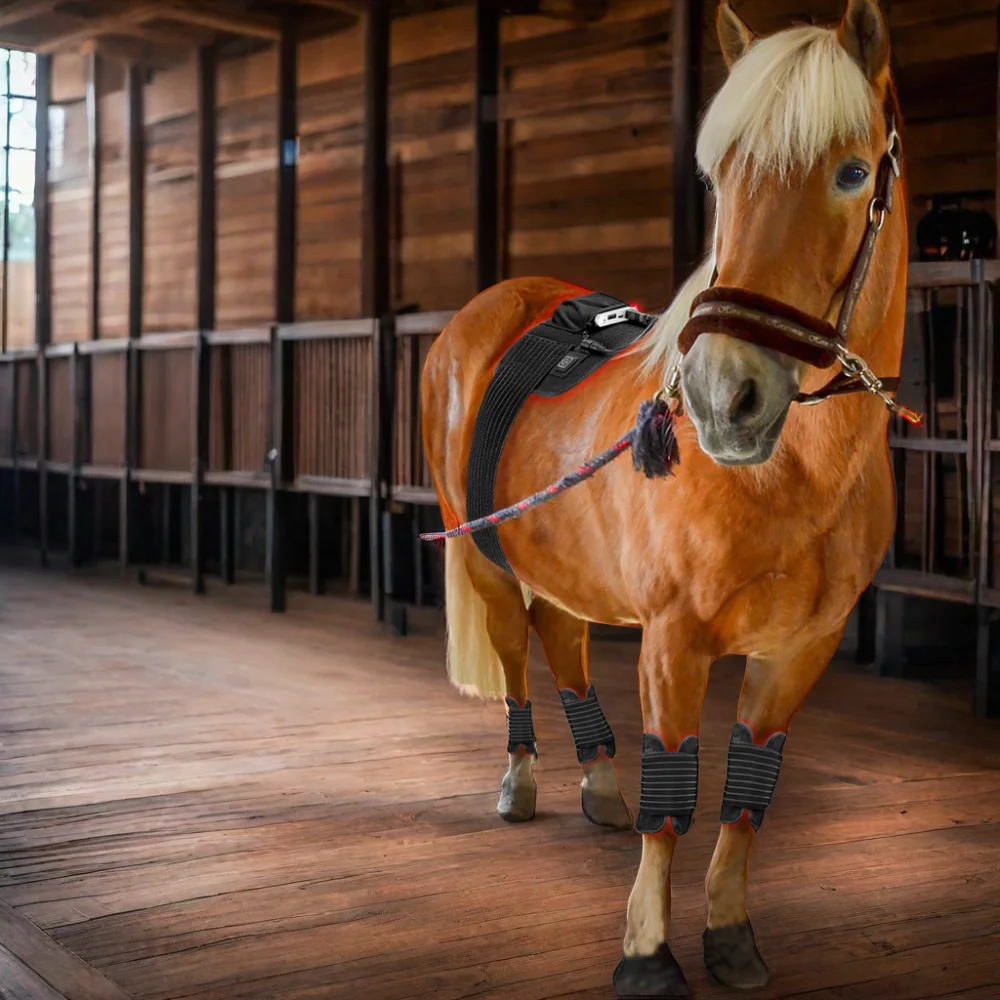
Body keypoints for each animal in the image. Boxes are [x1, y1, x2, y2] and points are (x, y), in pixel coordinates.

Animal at [420, 3, 908, 996]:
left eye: (851, 173)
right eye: (720, 179)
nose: (724, 396)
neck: (792, 475)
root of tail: (482, 311)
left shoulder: (800, 650)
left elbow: (749, 793)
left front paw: (731, 936)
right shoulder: (674, 640)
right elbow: (674, 792)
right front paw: (646, 951)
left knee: (564, 644)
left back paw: (599, 785)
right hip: (485, 558)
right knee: (518, 658)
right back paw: (521, 783)